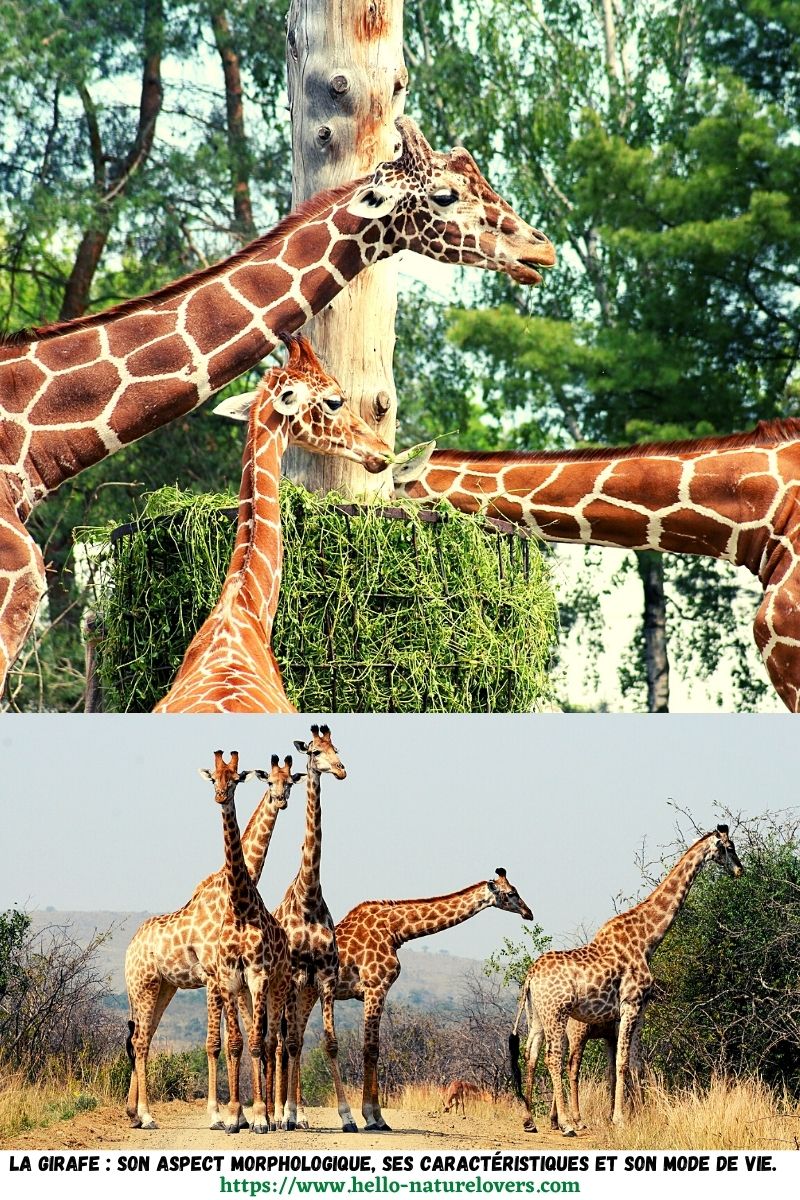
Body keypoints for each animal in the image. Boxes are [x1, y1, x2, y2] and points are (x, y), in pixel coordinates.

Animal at [124, 752, 302, 1131]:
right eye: (269, 782)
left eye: (290, 781)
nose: (280, 799)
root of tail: (130, 947)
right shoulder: (212, 977)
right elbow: (215, 1043)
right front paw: (221, 1115)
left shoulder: (229, 979)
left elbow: (235, 1040)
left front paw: (241, 1115)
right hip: (143, 985)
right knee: (141, 1040)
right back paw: (146, 1115)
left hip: (163, 987)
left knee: (142, 1036)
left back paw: (134, 1113)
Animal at [290, 868, 533, 1132]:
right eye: (512, 893)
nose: (528, 913)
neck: (396, 931)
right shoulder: (375, 988)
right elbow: (371, 1049)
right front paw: (373, 1118)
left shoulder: (374, 991)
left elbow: (374, 1049)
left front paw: (376, 1117)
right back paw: (297, 1116)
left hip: (306, 993)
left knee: (295, 1042)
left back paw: (298, 1117)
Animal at [509, 825, 743, 1135]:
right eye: (729, 847)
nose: (740, 869)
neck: (647, 939)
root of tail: (530, 976)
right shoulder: (631, 1003)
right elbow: (621, 1062)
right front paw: (619, 1118)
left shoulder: (637, 1009)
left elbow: (633, 1063)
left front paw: (631, 1115)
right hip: (557, 1013)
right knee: (554, 1057)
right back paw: (568, 1124)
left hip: (536, 1014)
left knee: (531, 1053)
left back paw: (530, 1120)